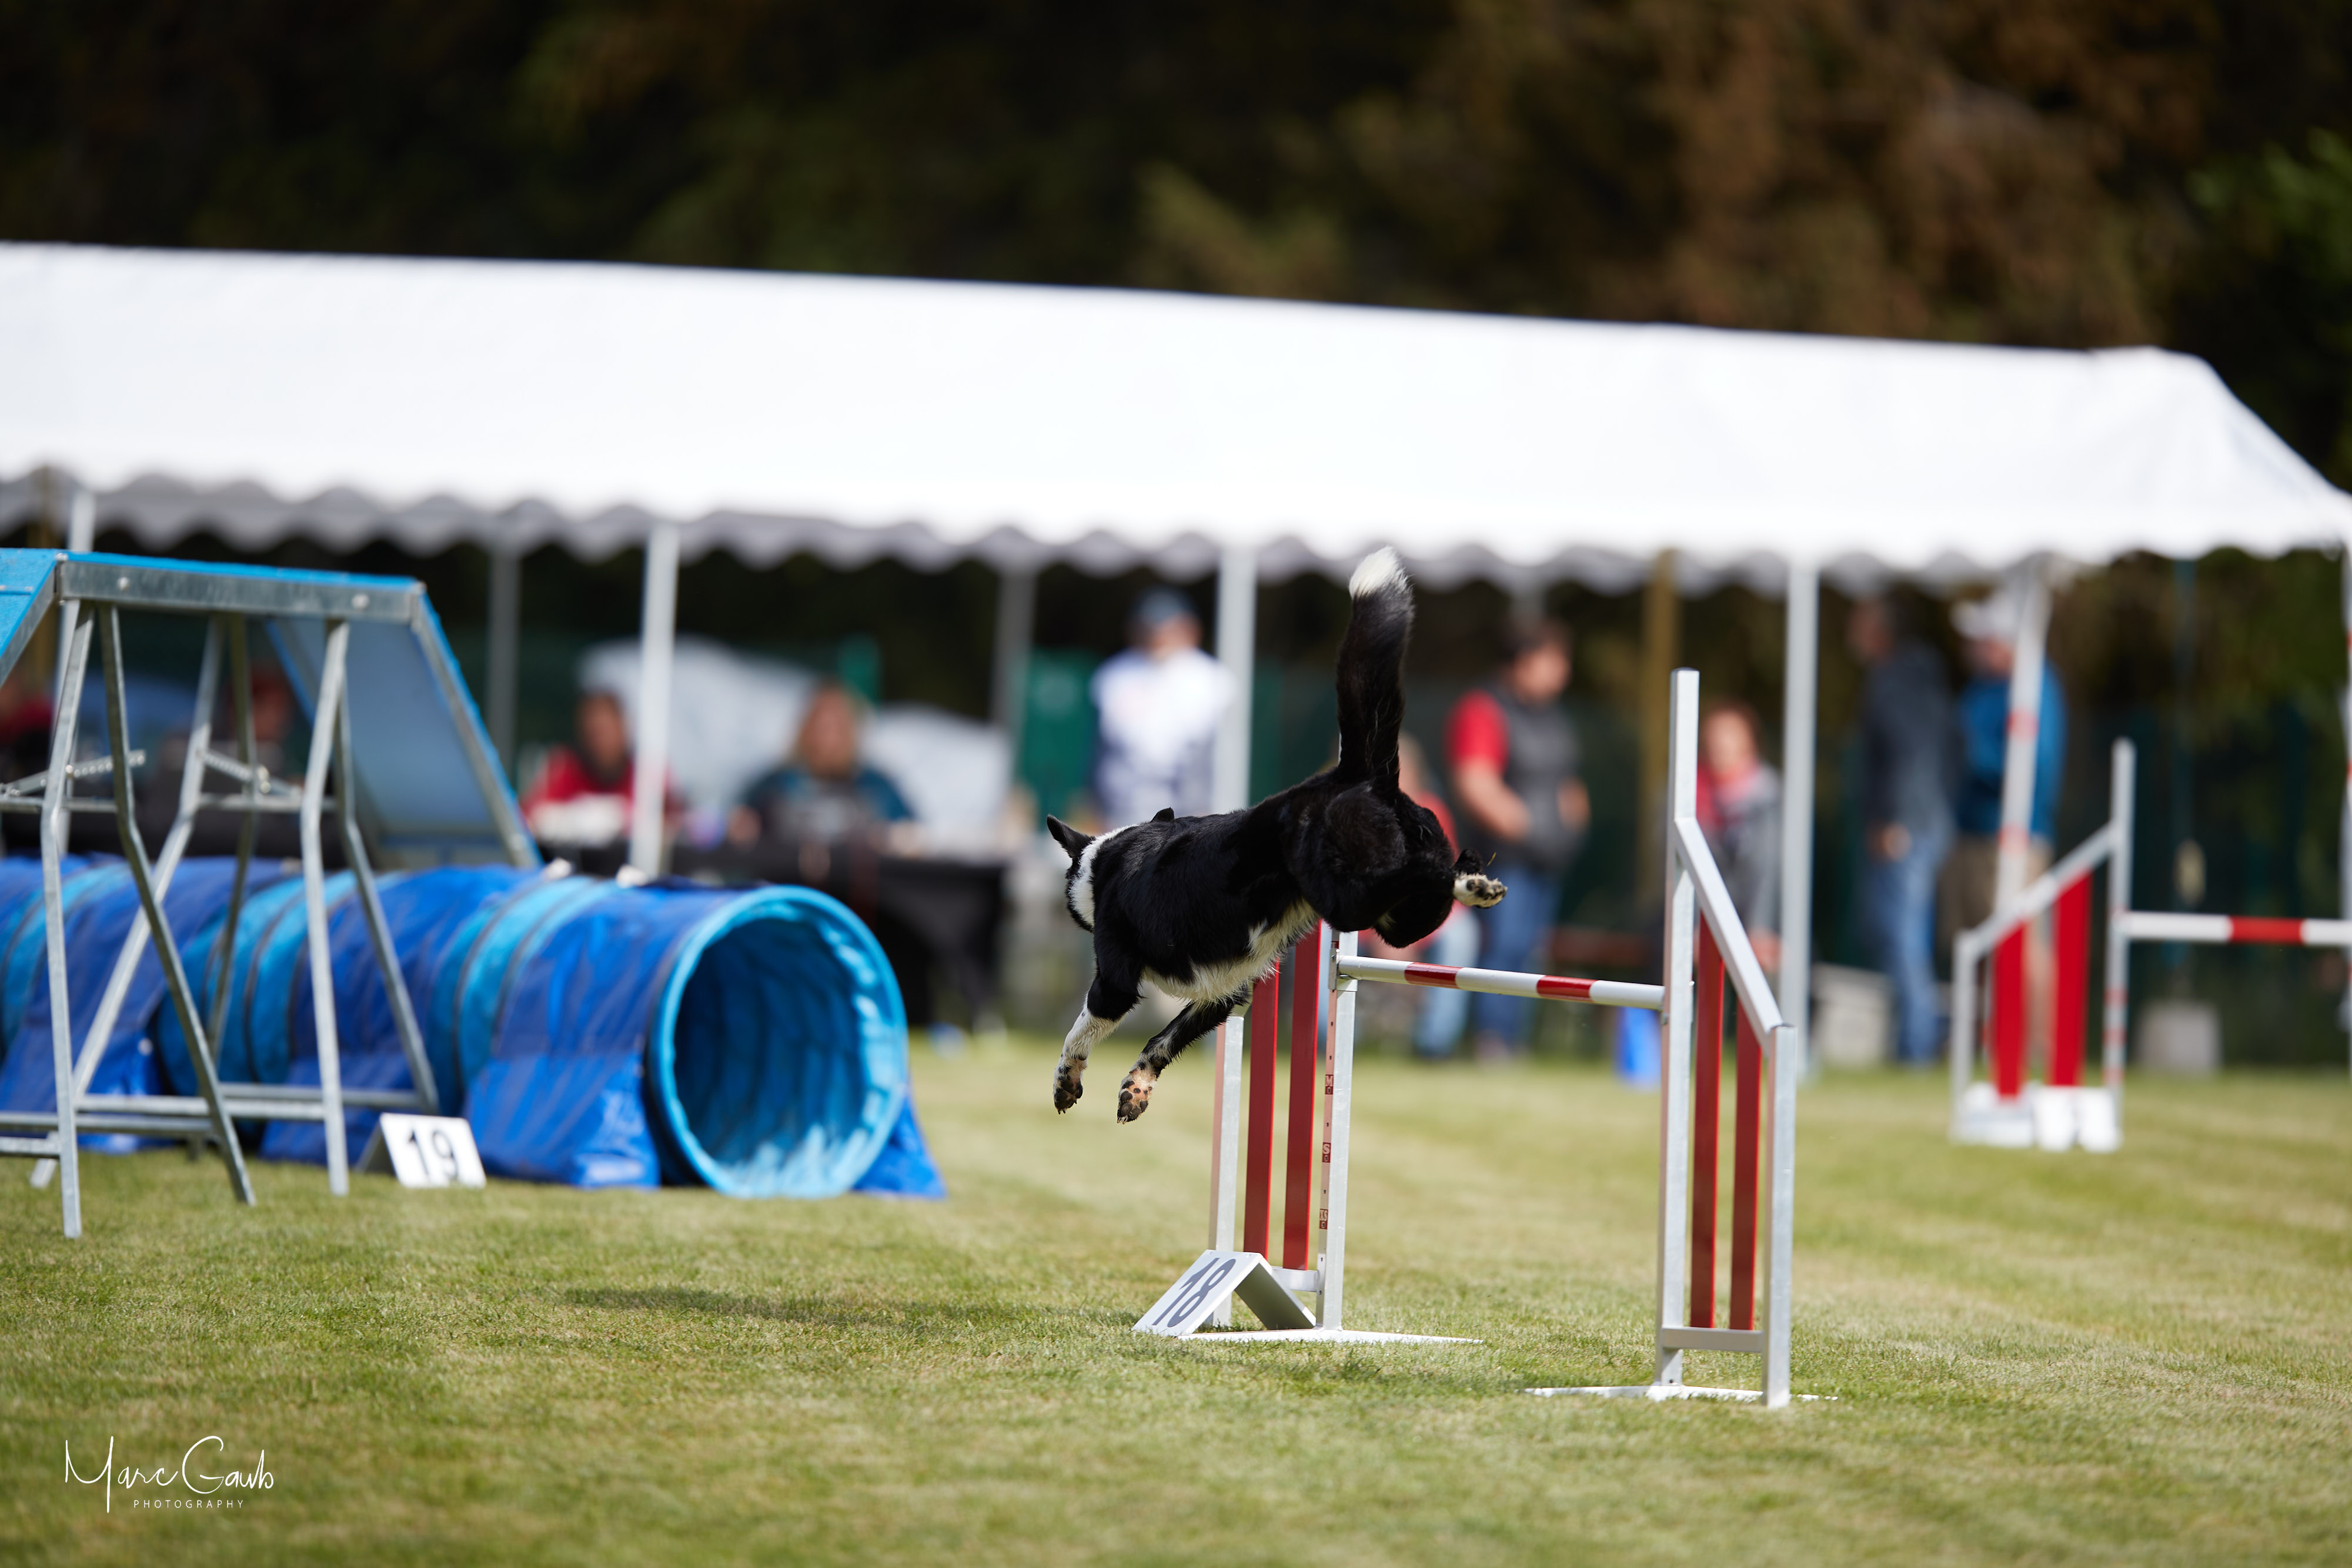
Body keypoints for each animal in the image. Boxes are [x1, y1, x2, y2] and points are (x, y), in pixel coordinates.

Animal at [1044, 548, 1505, 1123]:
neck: (1106, 862)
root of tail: (1361, 775)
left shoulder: (1115, 979)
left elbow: (1078, 1032)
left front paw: (1066, 1083)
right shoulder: (1225, 991)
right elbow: (1163, 1040)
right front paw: (1137, 1088)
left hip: (1349, 898)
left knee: (1410, 876)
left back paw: (1474, 887)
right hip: (1402, 922)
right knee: (1443, 870)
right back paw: (1477, 880)